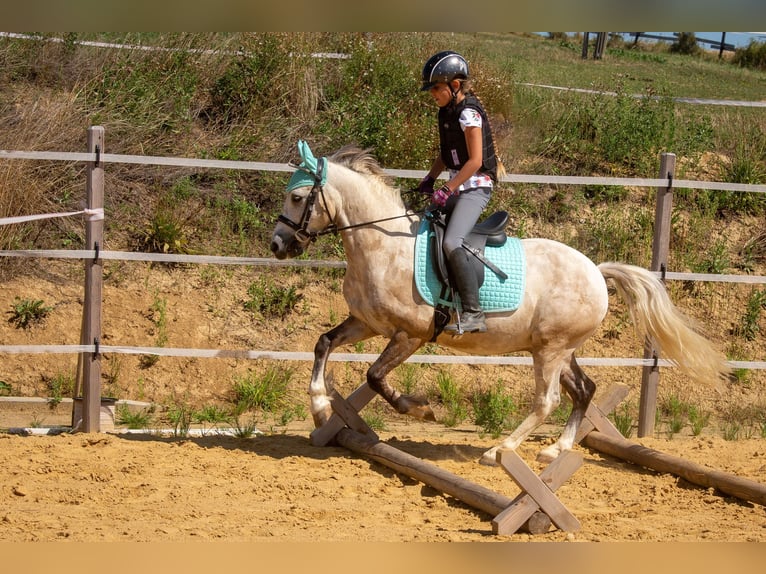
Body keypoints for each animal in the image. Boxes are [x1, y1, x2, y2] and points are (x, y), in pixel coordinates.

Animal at [270, 142, 730, 465]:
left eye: (298, 198)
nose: (277, 245)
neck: (382, 247)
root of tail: (597, 272)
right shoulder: (365, 323)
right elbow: (323, 344)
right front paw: (318, 407)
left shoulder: (409, 335)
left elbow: (376, 377)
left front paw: (421, 410)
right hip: (558, 348)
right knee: (584, 390)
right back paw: (554, 451)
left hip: (551, 350)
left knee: (548, 401)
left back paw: (499, 450)